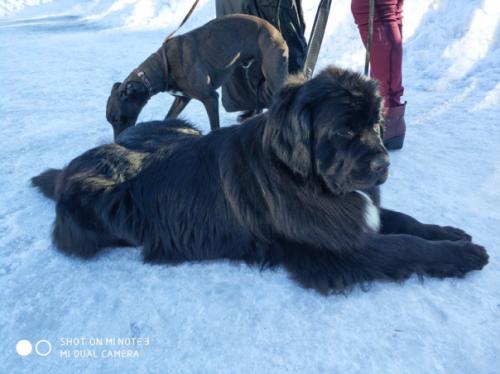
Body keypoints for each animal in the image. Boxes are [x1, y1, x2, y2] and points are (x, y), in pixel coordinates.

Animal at [32, 68, 488, 296]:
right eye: (344, 130)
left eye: (375, 124)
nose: (383, 163)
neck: (298, 174)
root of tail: (70, 169)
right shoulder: (336, 249)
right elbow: (403, 245)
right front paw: (463, 254)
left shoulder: (357, 211)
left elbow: (405, 221)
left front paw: (448, 232)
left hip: (181, 126)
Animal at [107, 14, 292, 139]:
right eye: (111, 120)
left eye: (117, 119)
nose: (118, 141)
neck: (163, 65)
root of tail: (273, 28)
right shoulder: (182, 98)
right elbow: (168, 118)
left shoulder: (210, 98)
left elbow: (215, 126)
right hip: (253, 73)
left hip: (274, 74)